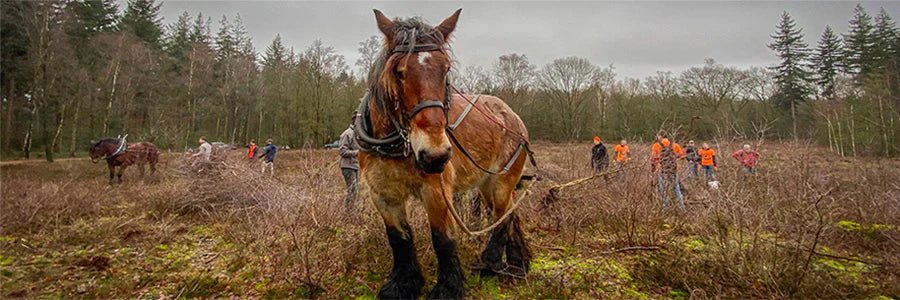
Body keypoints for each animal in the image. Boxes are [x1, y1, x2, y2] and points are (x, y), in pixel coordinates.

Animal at [356, 9, 532, 300]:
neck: (398, 146)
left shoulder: (437, 191)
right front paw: (403, 283)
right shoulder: (383, 194)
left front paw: (448, 288)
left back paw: (492, 261)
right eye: (398, 71)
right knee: (509, 213)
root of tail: (513, 116)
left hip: (502, 180)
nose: (435, 155)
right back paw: (518, 264)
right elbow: (398, 239)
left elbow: (442, 239)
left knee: (503, 216)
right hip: (485, 184)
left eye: (446, 68)